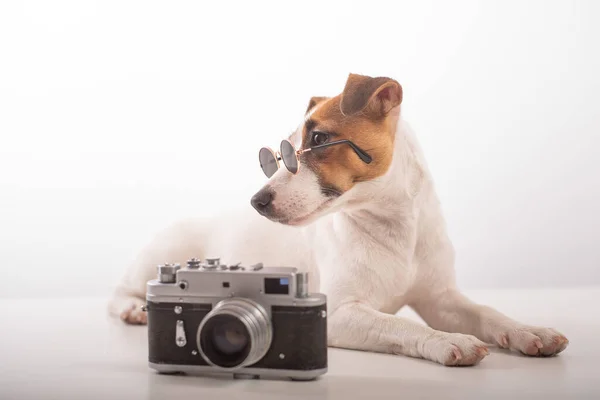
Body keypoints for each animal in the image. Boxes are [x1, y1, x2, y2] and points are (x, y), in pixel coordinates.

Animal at [108, 72, 568, 366]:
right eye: (279, 154)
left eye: (317, 139)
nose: (257, 201)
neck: (392, 226)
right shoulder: (341, 314)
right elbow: (401, 326)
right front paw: (447, 340)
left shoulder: (442, 299)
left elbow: (488, 313)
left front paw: (530, 332)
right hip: (161, 253)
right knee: (120, 291)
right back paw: (134, 309)